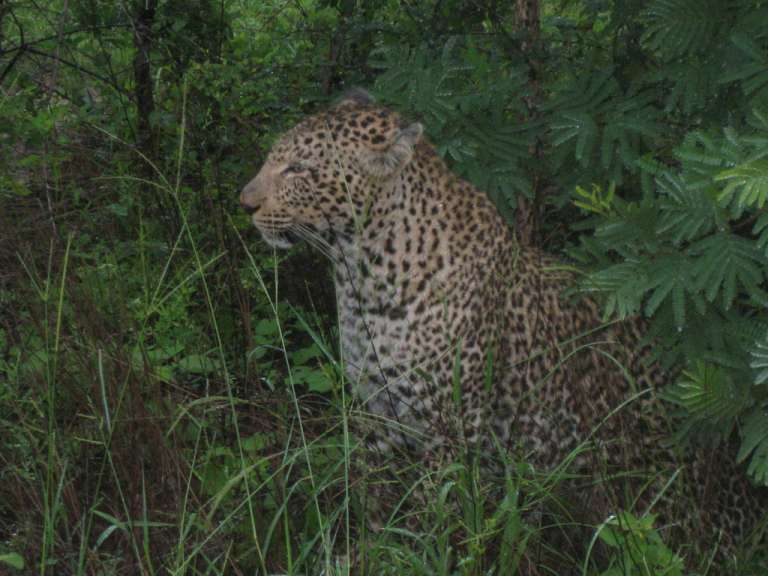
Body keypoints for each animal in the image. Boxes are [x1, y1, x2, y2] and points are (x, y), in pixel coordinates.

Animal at [240, 88, 766, 568]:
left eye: (299, 169)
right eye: (274, 158)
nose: (244, 203)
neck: (360, 278)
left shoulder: (448, 430)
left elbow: (432, 523)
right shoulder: (377, 416)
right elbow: (375, 507)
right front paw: (366, 555)